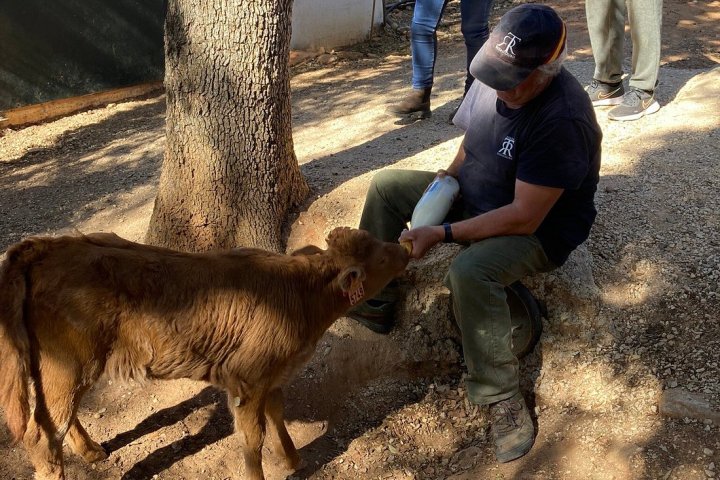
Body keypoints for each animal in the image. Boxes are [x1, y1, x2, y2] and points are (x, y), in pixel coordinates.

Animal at [0, 227, 409, 480]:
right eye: (380, 259)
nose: (405, 247)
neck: (301, 293)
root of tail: (46, 246)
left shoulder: (271, 377)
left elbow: (277, 415)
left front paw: (293, 460)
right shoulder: (247, 381)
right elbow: (252, 438)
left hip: (63, 368)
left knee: (55, 420)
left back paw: (92, 452)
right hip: (68, 367)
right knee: (43, 434)